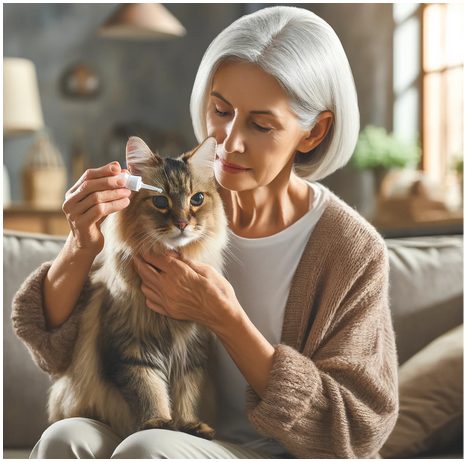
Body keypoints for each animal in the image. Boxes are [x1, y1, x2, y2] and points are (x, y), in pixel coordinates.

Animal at [47, 135, 229, 438]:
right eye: (160, 201)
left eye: (197, 199)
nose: (182, 223)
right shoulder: (132, 349)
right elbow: (150, 391)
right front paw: (159, 423)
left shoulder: (193, 350)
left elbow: (187, 394)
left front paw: (190, 425)